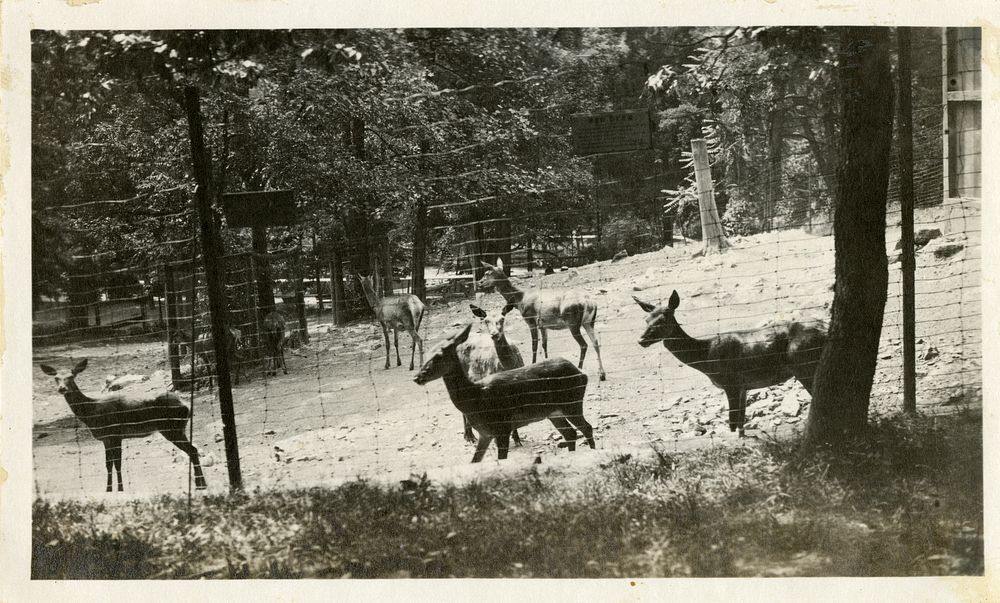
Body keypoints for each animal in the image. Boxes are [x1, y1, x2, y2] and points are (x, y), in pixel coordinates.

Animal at [40, 360, 208, 494]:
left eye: (71, 376)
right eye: (56, 377)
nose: (62, 388)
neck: (92, 413)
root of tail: (187, 406)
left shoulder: (114, 435)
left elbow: (116, 464)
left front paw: (118, 489)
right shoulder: (108, 438)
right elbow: (109, 465)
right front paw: (110, 489)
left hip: (172, 428)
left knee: (192, 450)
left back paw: (201, 485)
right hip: (178, 428)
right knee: (193, 450)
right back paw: (201, 484)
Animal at [414, 326, 592, 462]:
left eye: (438, 356)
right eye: (427, 353)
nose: (416, 377)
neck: (476, 398)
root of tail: (583, 374)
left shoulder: (502, 427)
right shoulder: (485, 433)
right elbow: (475, 461)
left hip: (572, 404)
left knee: (586, 428)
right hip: (554, 412)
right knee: (570, 433)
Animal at [458, 304, 528, 446]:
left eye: (502, 319)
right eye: (486, 320)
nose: (494, 334)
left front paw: (517, 440)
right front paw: (499, 440)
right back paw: (469, 436)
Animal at [478, 256, 608, 380]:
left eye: (488, 273)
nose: (479, 282)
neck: (520, 299)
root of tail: (590, 303)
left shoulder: (531, 320)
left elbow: (534, 345)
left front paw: (533, 363)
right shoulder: (543, 325)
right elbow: (544, 344)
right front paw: (547, 364)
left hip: (573, 322)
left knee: (584, 344)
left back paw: (580, 369)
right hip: (589, 322)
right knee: (596, 342)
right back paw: (602, 374)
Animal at [632, 292, 828, 436]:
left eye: (662, 320)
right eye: (646, 320)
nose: (641, 340)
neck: (706, 356)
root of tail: (825, 330)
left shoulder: (731, 382)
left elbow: (732, 422)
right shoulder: (743, 386)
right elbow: (740, 421)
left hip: (805, 366)